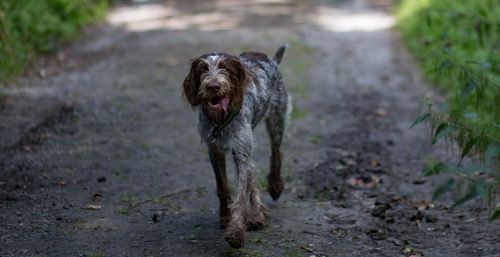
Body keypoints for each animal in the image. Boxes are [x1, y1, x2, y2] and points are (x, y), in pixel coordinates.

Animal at [182, 44, 290, 246]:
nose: (213, 86)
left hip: (276, 121)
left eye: (225, 68)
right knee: (252, 170)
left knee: (276, 154)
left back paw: (274, 187)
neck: (220, 119)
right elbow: (224, 187)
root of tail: (271, 59)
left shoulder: (240, 152)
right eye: (203, 69)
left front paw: (236, 231)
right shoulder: (215, 150)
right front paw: (225, 217)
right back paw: (257, 214)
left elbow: (241, 194)